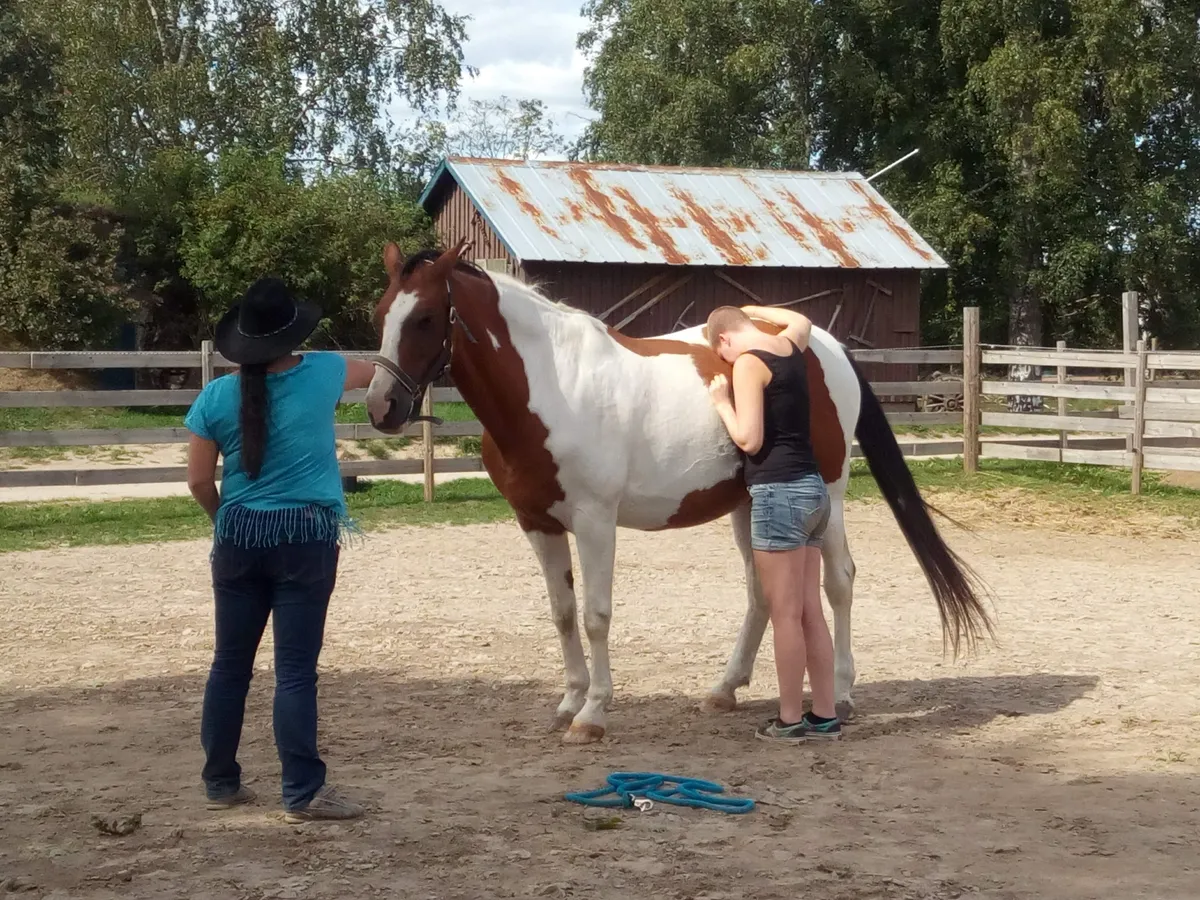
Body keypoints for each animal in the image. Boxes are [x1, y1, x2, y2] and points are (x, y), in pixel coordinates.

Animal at [364, 240, 993, 744]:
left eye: (425, 318)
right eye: (380, 313)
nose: (381, 408)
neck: (551, 385)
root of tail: (829, 348)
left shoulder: (595, 522)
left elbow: (595, 615)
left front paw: (592, 715)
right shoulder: (537, 522)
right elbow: (562, 613)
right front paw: (568, 701)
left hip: (830, 499)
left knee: (839, 583)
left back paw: (839, 692)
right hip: (748, 505)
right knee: (762, 593)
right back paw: (725, 689)